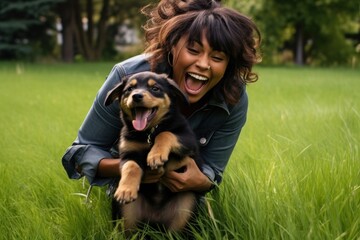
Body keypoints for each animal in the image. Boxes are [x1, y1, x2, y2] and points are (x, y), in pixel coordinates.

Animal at [104, 71, 201, 232]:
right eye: (129, 89)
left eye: (155, 88)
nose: (136, 96)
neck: (147, 133)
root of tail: (155, 221)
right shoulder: (127, 153)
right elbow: (131, 166)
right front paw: (125, 190)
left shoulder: (188, 140)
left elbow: (165, 134)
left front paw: (156, 155)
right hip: (128, 215)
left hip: (185, 208)